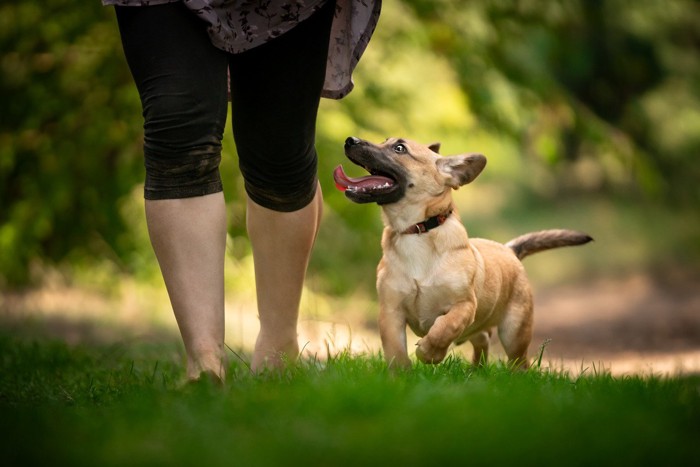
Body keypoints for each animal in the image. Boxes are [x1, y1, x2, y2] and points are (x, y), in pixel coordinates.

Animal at [334, 135, 592, 370]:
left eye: (399, 148)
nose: (350, 140)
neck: (417, 231)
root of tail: (509, 250)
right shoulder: (391, 312)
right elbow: (396, 352)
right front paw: (401, 377)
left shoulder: (464, 306)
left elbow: (444, 327)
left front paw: (429, 353)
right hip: (479, 329)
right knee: (483, 339)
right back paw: (476, 370)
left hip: (514, 332)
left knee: (518, 360)